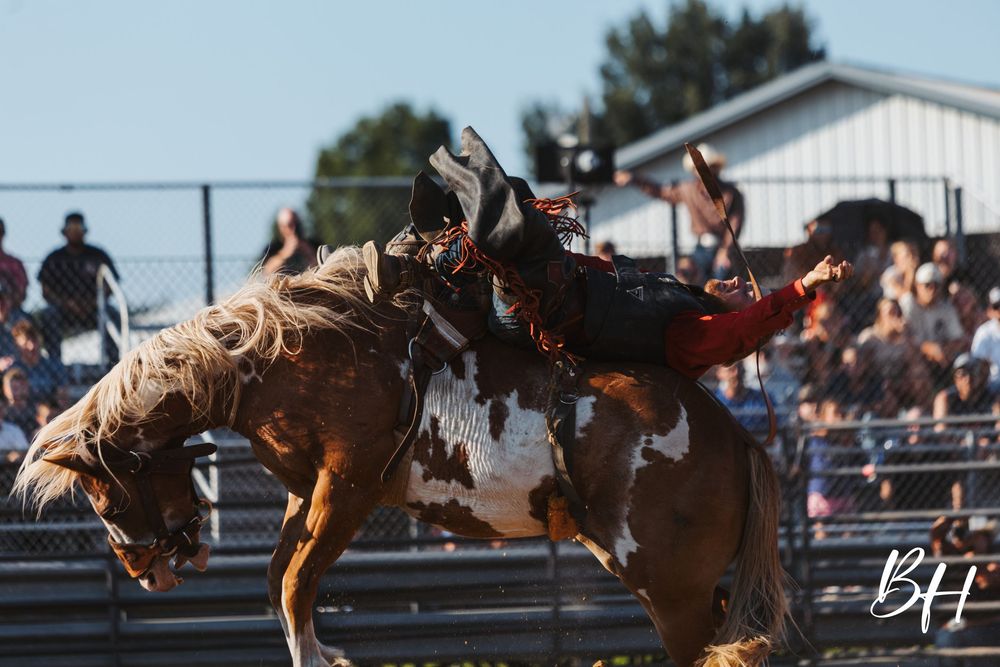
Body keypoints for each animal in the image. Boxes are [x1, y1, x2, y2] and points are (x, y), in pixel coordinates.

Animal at [14, 246, 787, 667]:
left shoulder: (349, 485)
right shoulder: (306, 491)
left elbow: (294, 583)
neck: (281, 358)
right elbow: (280, 579)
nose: (145, 573)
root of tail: (736, 436)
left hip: (670, 588)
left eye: (108, 497)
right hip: (672, 581)